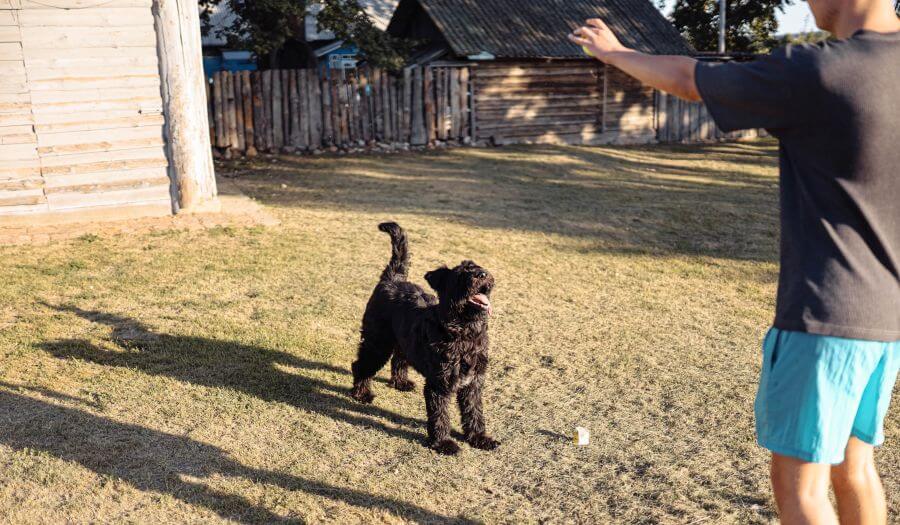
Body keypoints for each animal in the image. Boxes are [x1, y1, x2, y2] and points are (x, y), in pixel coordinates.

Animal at [352, 222, 502, 454]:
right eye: (461, 276)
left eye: (476, 266)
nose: (482, 273)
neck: (464, 332)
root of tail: (392, 279)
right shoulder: (439, 383)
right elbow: (440, 415)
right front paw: (443, 443)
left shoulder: (474, 382)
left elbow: (474, 411)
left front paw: (479, 438)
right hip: (378, 342)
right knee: (361, 365)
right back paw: (362, 393)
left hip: (401, 341)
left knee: (398, 358)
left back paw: (400, 382)